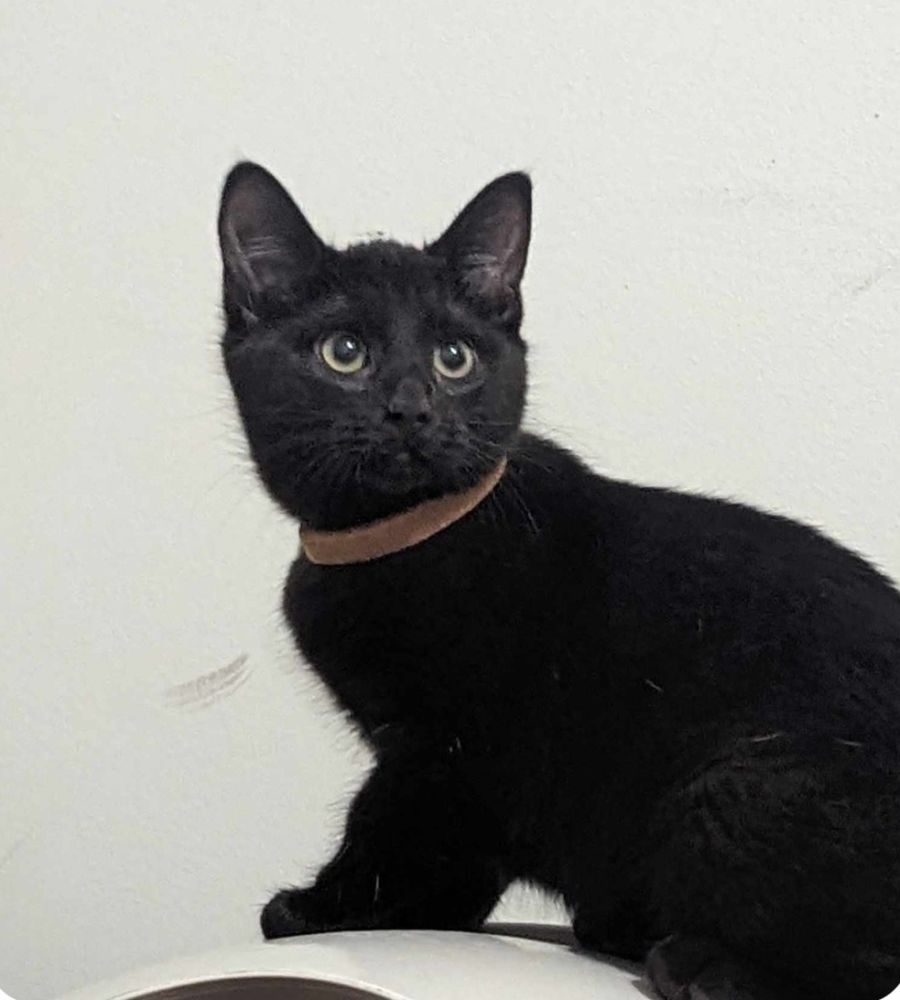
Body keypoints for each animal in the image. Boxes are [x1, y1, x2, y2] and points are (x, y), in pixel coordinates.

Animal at [217, 161, 900, 1000]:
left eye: (454, 358)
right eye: (343, 352)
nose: (411, 409)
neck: (399, 536)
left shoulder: (453, 747)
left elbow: (389, 829)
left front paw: (320, 909)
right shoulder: (451, 767)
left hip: (735, 788)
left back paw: (696, 962)